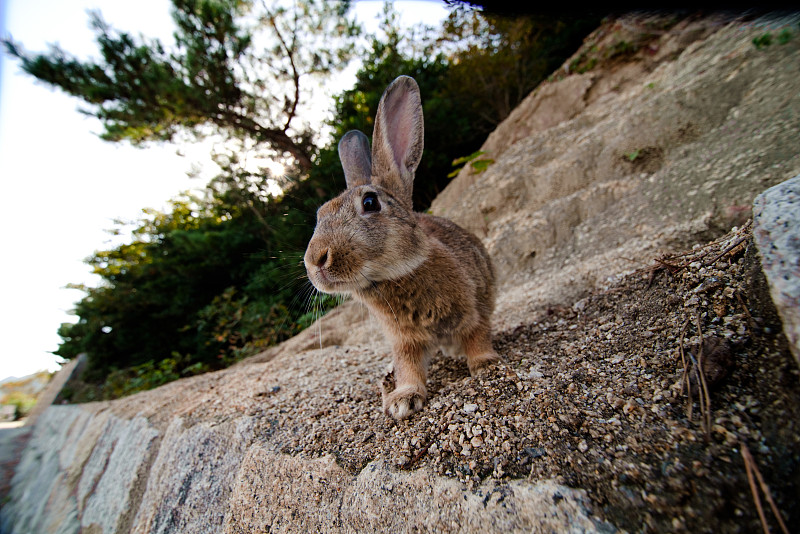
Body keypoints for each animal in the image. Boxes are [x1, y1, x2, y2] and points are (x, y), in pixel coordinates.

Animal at [306, 75, 500, 420]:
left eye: (370, 202)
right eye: (320, 215)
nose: (314, 261)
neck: (395, 277)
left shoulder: (474, 310)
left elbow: (477, 336)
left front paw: (486, 366)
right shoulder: (403, 341)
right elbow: (408, 367)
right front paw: (404, 399)